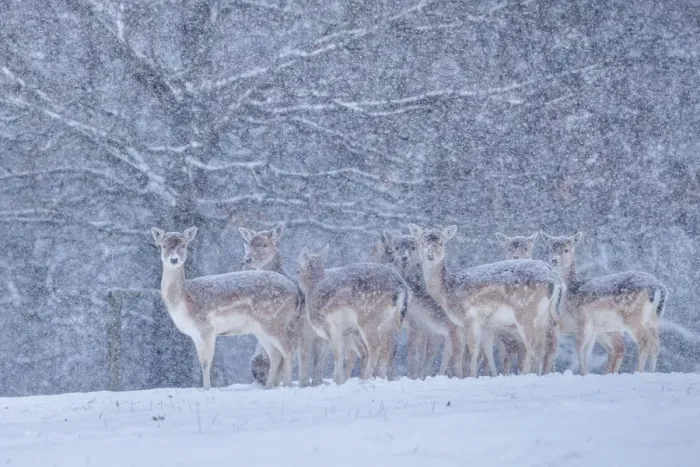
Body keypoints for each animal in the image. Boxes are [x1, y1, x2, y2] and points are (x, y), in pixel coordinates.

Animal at [151, 226, 301, 389]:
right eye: (164, 246)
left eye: (183, 245)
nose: (174, 259)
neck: (183, 302)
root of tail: (295, 292)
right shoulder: (194, 333)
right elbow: (201, 361)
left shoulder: (207, 327)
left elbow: (206, 362)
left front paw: (207, 388)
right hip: (260, 328)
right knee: (275, 354)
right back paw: (268, 387)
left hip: (275, 321)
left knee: (289, 349)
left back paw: (287, 385)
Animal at [297, 245, 410, 384]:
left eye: (298, 269)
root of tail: (402, 288)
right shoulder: (349, 331)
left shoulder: (332, 326)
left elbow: (338, 354)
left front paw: (338, 381)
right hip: (391, 322)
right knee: (388, 349)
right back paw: (380, 378)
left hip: (368, 318)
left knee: (375, 348)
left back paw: (366, 379)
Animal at [373, 231, 466, 379]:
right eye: (396, 248)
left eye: (413, 247)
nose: (403, 258)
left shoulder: (422, 326)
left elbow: (420, 354)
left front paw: (416, 376)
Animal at [408, 224, 565, 377]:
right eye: (422, 242)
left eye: (441, 242)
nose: (430, 255)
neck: (449, 291)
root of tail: (555, 279)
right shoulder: (485, 325)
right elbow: (485, 352)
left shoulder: (470, 318)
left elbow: (472, 352)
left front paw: (471, 376)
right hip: (543, 317)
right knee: (541, 349)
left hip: (525, 313)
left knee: (531, 348)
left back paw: (525, 375)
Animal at [539, 232, 667, 374]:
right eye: (550, 248)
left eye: (566, 249)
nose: (554, 260)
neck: (569, 295)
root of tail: (659, 288)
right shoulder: (589, 330)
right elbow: (584, 353)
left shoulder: (582, 322)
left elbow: (576, 350)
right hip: (652, 321)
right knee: (655, 344)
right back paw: (650, 372)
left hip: (634, 318)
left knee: (642, 343)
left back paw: (637, 372)